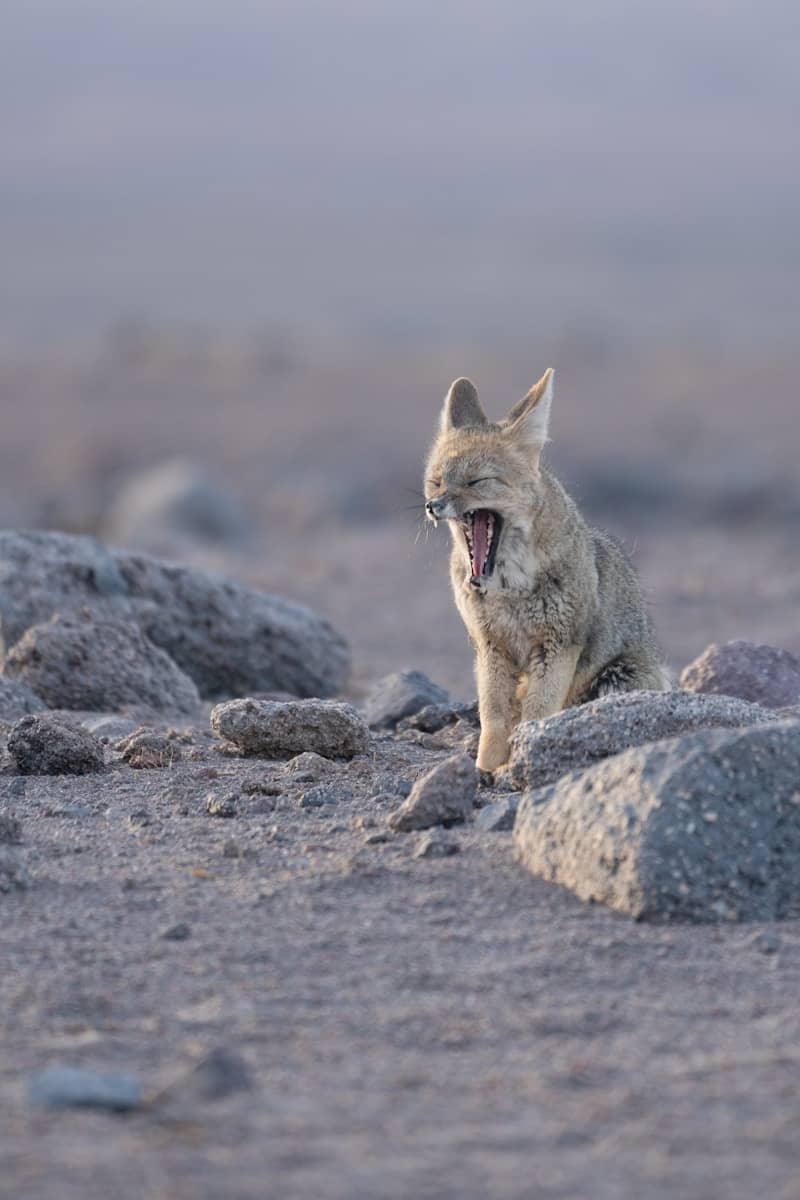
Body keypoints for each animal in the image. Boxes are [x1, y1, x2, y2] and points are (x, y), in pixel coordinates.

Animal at [422, 364, 671, 772]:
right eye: (436, 481)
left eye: (477, 481)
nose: (432, 505)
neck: (508, 590)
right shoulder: (490, 647)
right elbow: (494, 718)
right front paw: (485, 769)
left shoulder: (558, 646)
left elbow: (537, 714)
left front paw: (521, 759)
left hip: (617, 679)